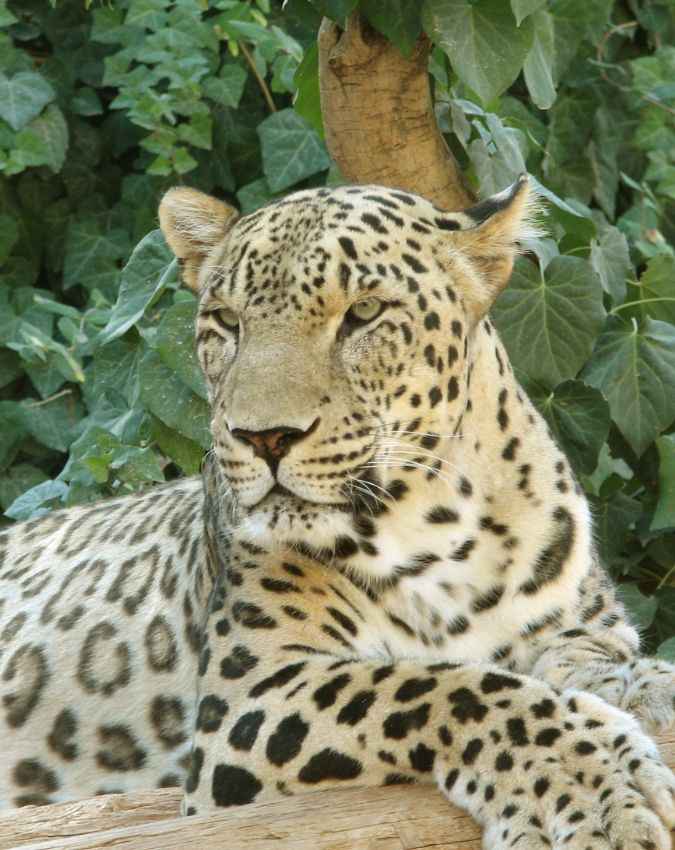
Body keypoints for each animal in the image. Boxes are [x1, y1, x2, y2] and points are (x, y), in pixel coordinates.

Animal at [1, 176, 674, 850]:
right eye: (227, 321)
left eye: (365, 313)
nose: (264, 437)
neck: (444, 529)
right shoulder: (248, 696)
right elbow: (438, 686)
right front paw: (595, 787)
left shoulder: (583, 623)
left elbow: (589, 657)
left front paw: (636, 689)